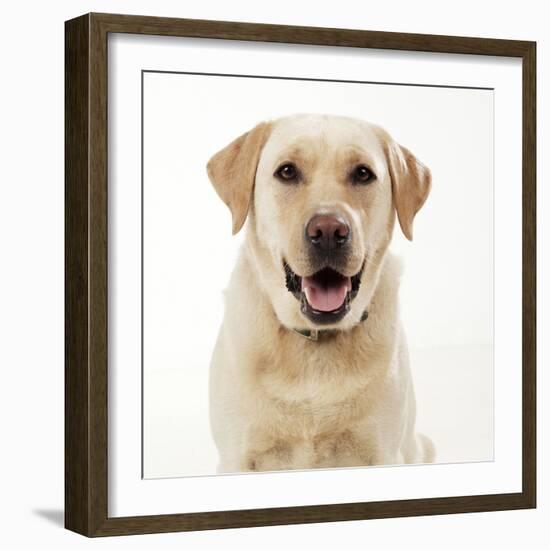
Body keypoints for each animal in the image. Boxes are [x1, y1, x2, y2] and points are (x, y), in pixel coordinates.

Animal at [207, 113, 436, 474]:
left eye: (362, 173)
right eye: (287, 171)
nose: (329, 231)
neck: (314, 346)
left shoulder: (384, 454)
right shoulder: (236, 459)